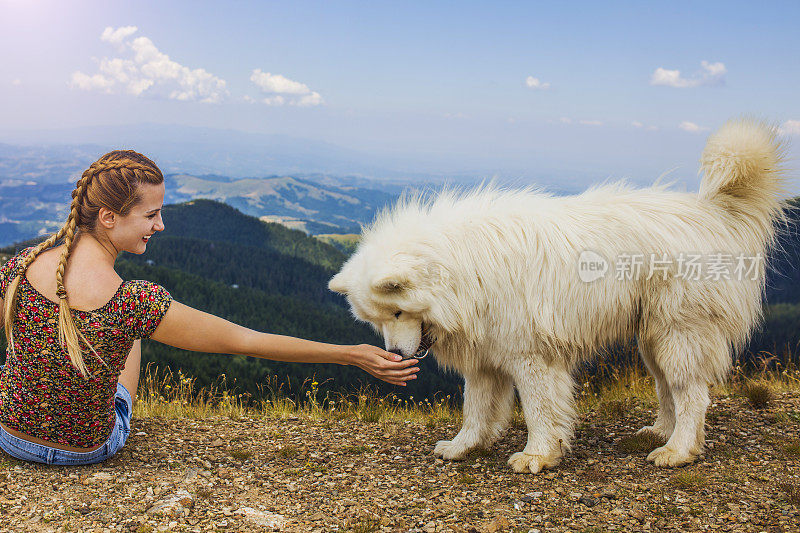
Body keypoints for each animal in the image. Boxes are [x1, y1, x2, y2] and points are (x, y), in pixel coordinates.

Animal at [330, 118, 788, 472]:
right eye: (377, 321)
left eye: (397, 313)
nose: (396, 356)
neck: (461, 271)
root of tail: (711, 212)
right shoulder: (485, 359)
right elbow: (475, 410)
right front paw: (464, 446)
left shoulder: (532, 357)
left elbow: (539, 411)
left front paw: (538, 455)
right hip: (652, 338)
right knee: (667, 388)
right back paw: (660, 431)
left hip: (680, 333)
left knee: (691, 393)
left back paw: (677, 450)